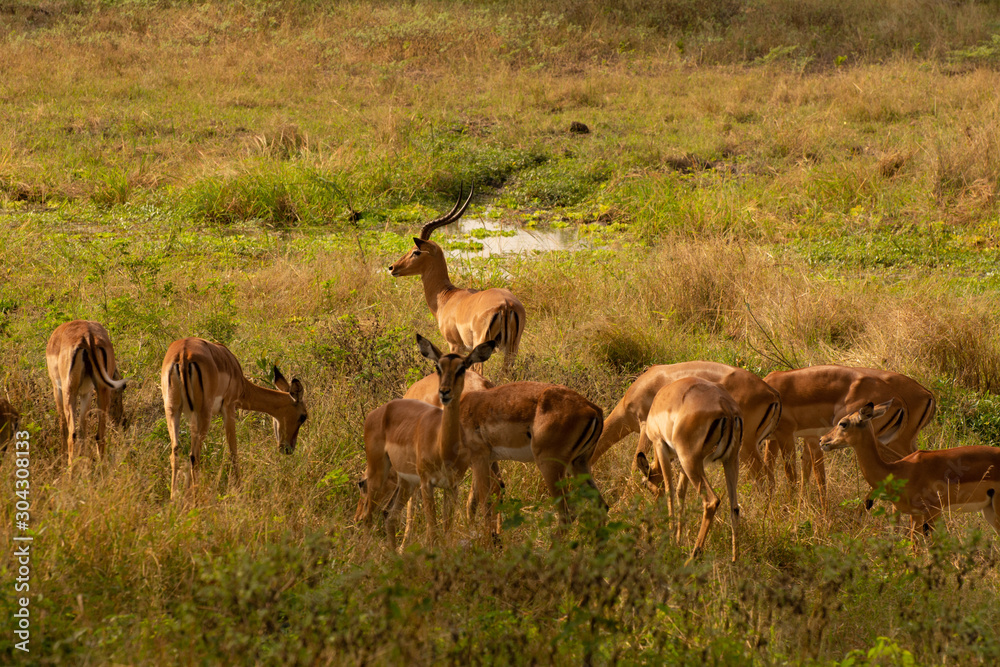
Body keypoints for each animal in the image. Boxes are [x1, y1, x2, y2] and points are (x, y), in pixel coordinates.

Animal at [45, 320, 128, 466]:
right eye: (123, 388)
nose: (122, 421)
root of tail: (87, 335)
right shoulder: (86, 393)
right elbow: (83, 429)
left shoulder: (57, 389)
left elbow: (63, 426)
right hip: (101, 390)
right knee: (99, 436)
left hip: (69, 392)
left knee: (72, 435)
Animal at [160, 337, 307, 499]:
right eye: (303, 416)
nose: (288, 449)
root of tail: (183, 355)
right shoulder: (229, 408)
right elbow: (233, 451)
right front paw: (240, 489)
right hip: (204, 413)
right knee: (194, 456)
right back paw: (196, 499)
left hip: (172, 410)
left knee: (175, 451)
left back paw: (174, 499)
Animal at [388, 185, 526, 372]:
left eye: (416, 251)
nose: (392, 268)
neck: (446, 297)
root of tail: (506, 305)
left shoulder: (454, 345)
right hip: (512, 348)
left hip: (482, 346)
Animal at [634, 377, 743, 562]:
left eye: (646, 485)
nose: (655, 510)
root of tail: (726, 406)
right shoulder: (680, 463)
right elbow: (681, 492)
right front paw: (678, 541)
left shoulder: (661, 446)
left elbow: (670, 491)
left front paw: (670, 540)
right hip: (729, 461)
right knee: (734, 507)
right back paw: (735, 561)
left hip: (691, 460)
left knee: (712, 501)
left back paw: (693, 556)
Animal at [819, 401, 1000, 540]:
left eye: (843, 423)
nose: (822, 440)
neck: (898, 471)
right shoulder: (908, 513)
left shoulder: (930, 512)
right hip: (988, 511)